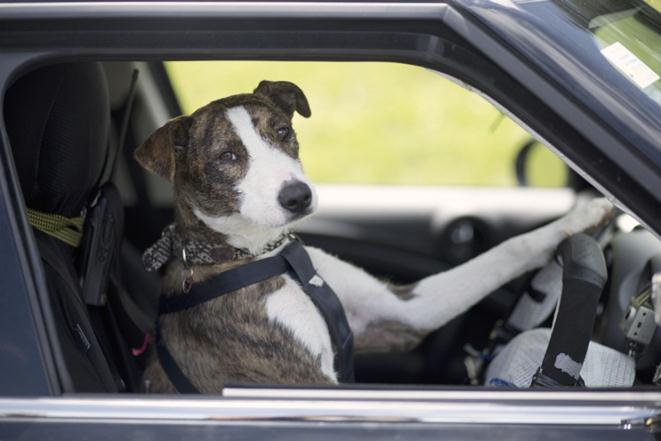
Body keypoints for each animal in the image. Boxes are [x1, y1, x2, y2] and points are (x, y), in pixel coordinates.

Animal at [135, 80, 612, 392]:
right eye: (227, 156)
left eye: (283, 132)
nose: (298, 196)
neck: (263, 255)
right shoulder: (304, 385)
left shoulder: (397, 314)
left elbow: (506, 251)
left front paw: (584, 214)